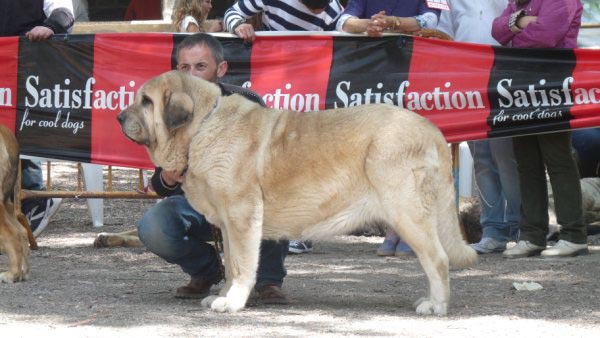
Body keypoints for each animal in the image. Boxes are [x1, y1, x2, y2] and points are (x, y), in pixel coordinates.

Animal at [115, 70, 476, 316]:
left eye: (146, 101)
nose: (119, 117)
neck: (202, 127)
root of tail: (431, 130)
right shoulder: (228, 226)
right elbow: (231, 264)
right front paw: (225, 294)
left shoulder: (242, 217)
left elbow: (243, 265)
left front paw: (233, 301)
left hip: (408, 215)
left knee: (437, 260)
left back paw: (436, 305)